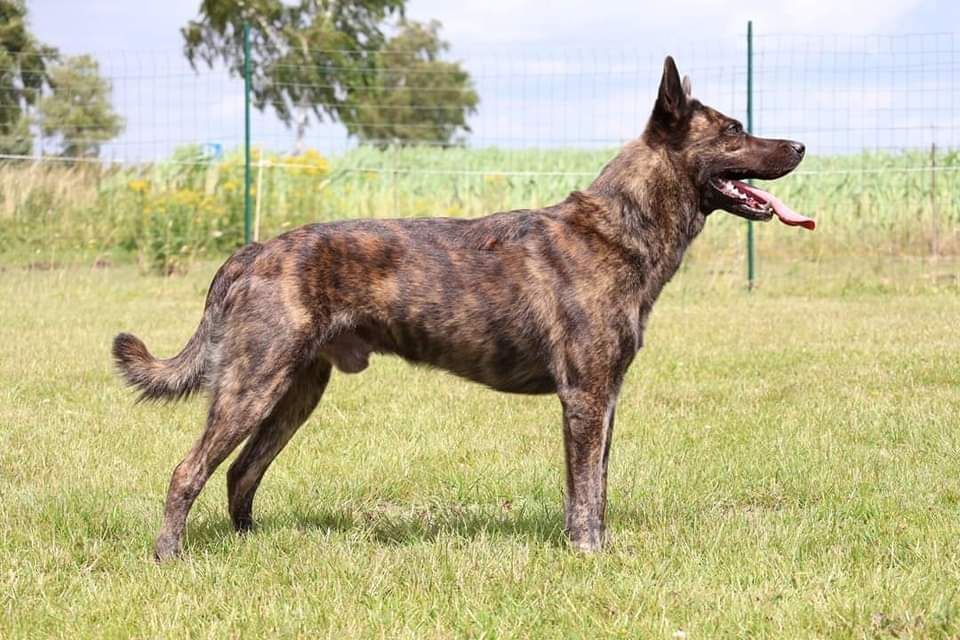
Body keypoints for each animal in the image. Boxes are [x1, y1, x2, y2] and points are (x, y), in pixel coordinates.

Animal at [113, 57, 811, 561]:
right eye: (734, 132)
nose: (801, 147)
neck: (621, 227)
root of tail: (253, 251)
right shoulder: (585, 397)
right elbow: (585, 492)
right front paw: (589, 556)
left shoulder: (606, 398)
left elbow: (600, 488)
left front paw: (600, 548)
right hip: (252, 387)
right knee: (189, 470)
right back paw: (170, 556)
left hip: (296, 391)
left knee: (241, 473)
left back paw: (251, 547)